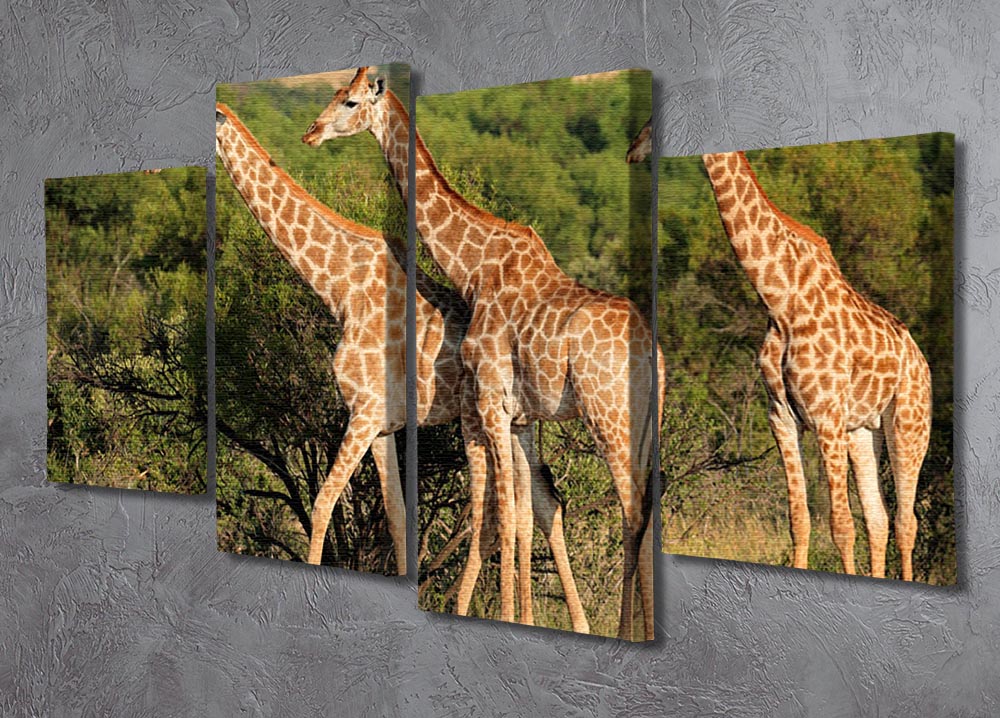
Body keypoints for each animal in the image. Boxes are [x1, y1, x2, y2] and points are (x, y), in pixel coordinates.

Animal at [216, 104, 589, 629]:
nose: (310, 132)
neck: (339, 286)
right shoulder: (381, 424)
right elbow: (396, 517)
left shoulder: (364, 411)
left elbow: (323, 502)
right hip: (521, 422)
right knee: (540, 503)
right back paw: (573, 622)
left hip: (487, 420)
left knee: (508, 511)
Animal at [303, 67, 664, 640]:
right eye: (335, 94)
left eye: (351, 102)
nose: (311, 132)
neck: (473, 266)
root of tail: (654, 352)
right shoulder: (515, 415)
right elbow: (522, 512)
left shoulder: (492, 403)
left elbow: (506, 515)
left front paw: (508, 616)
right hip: (646, 425)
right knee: (645, 519)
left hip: (610, 418)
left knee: (632, 515)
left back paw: (626, 630)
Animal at [701, 150, 931, 580]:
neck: (780, 297)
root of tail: (920, 360)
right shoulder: (781, 416)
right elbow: (800, 520)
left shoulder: (825, 416)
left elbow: (841, 526)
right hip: (862, 431)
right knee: (880, 518)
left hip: (910, 423)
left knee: (906, 521)